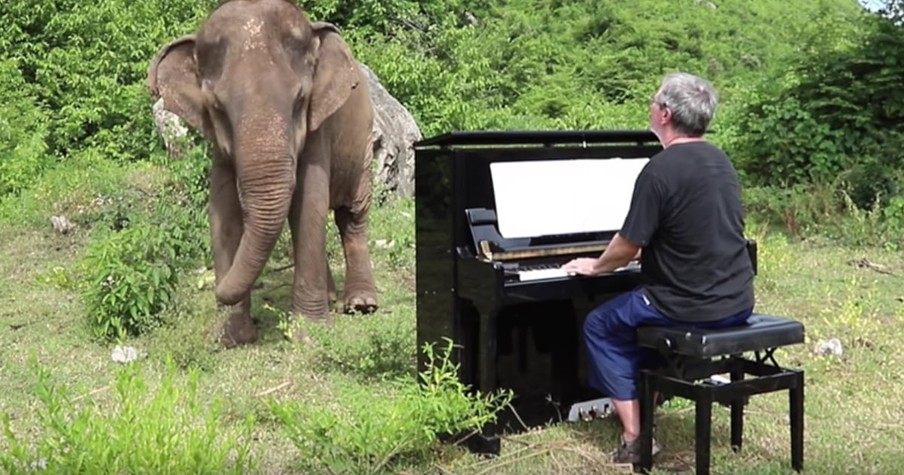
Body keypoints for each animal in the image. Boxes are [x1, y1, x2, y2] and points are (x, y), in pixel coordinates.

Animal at [147, 0, 378, 348]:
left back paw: (362, 304)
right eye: (216, 108)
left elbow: (309, 200)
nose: (213, 288)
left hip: (363, 138)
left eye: (300, 100)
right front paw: (231, 337)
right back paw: (330, 297)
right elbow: (223, 210)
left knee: (351, 214)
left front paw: (310, 336)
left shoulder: (318, 128)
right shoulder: (221, 151)